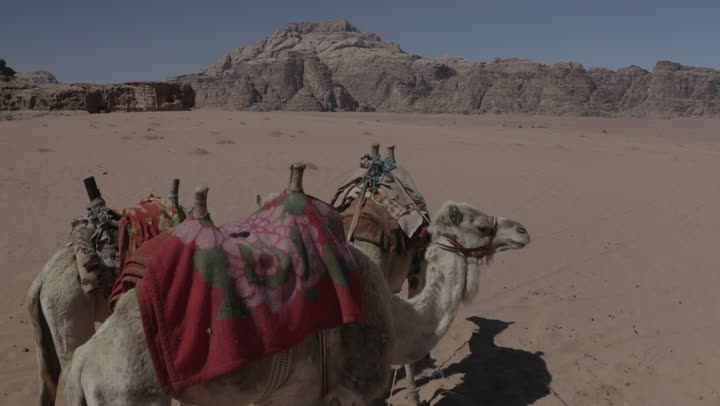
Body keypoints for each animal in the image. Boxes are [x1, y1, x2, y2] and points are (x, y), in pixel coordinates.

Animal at [65, 162, 530, 406]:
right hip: (131, 394)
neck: (396, 323)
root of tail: (84, 363)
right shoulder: (353, 390)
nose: (522, 230)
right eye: (477, 223)